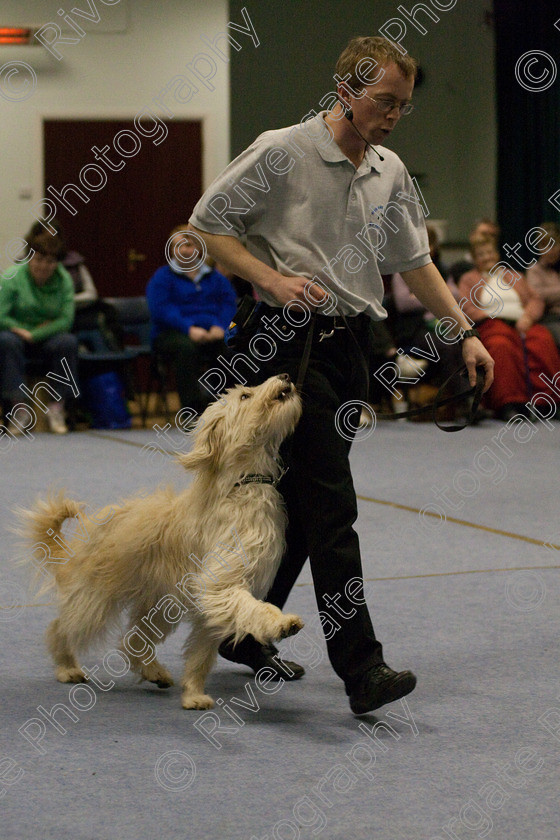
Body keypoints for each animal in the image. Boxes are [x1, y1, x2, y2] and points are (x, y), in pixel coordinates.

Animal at [19, 374, 304, 708]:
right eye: (245, 395)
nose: (285, 377)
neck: (242, 485)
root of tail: (80, 545)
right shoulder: (220, 586)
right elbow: (254, 608)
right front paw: (282, 624)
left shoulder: (213, 607)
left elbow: (200, 657)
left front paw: (193, 695)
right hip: (96, 599)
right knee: (61, 628)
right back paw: (67, 668)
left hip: (157, 604)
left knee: (133, 639)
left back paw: (154, 672)